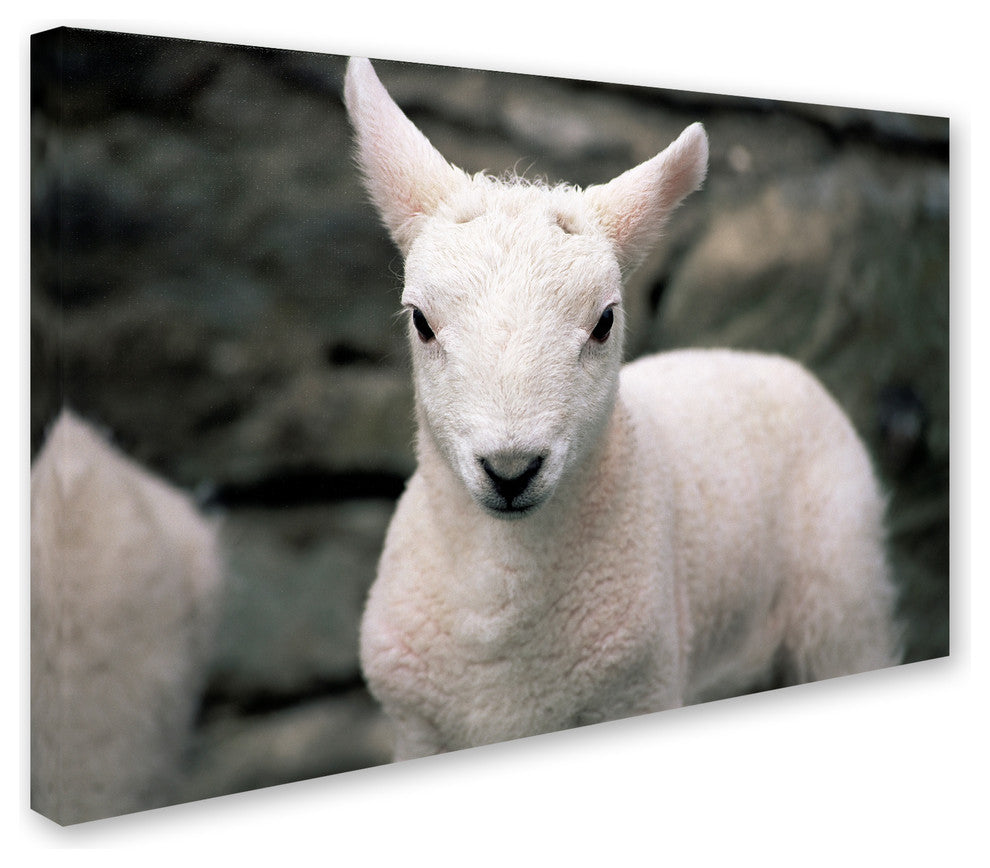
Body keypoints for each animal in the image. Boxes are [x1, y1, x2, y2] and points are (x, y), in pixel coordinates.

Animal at [344, 57, 903, 760]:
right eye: (421, 321)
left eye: (605, 321)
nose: (511, 468)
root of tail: (765, 359)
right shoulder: (417, 731)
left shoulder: (638, 688)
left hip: (842, 596)